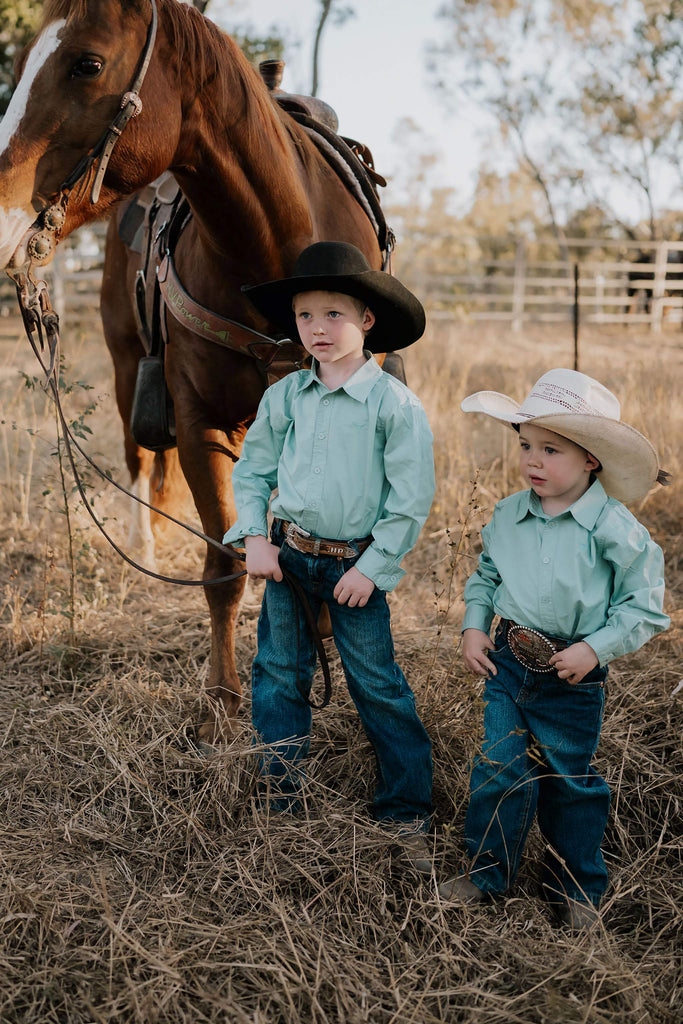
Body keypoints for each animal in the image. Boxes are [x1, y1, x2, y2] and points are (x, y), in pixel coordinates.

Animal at [0, 0, 385, 741]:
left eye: (87, 62)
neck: (276, 254)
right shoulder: (203, 423)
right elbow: (224, 563)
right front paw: (222, 701)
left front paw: (323, 631)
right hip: (128, 371)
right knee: (139, 462)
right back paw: (145, 550)